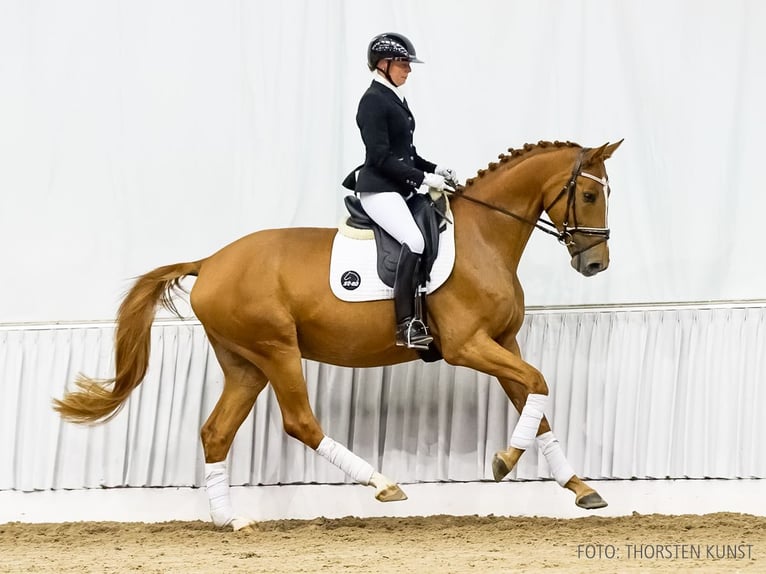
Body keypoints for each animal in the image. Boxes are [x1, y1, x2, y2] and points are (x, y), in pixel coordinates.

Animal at [58, 138, 624, 532]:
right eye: (589, 194)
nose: (596, 263)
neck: (484, 238)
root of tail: (211, 262)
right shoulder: (469, 347)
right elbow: (539, 383)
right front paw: (506, 462)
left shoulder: (503, 343)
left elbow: (536, 399)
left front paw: (579, 487)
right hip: (277, 350)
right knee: (300, 422)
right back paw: (384, 484)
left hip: (245, 364)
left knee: (216, 432)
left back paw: (230, 521)